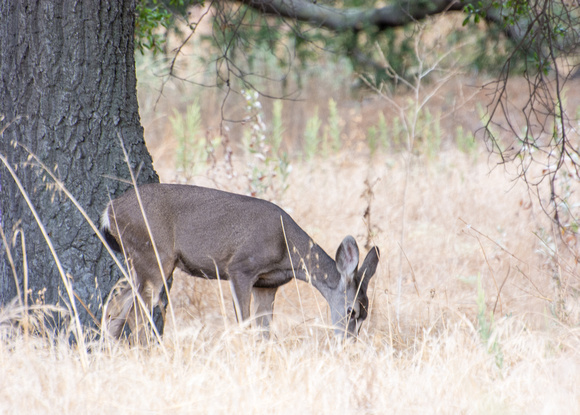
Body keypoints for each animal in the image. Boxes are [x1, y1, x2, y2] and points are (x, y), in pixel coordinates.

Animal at [101, 184, 380, 342]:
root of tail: (110, 210)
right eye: (351, 311)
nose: (348, 343)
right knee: (136, 315)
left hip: (138, 262)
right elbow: (245, 325)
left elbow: (264, 331)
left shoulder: (267, 285)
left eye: (366, 314)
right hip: (154, 256)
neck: (287, 249)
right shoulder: (240, 268)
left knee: (115, 305)